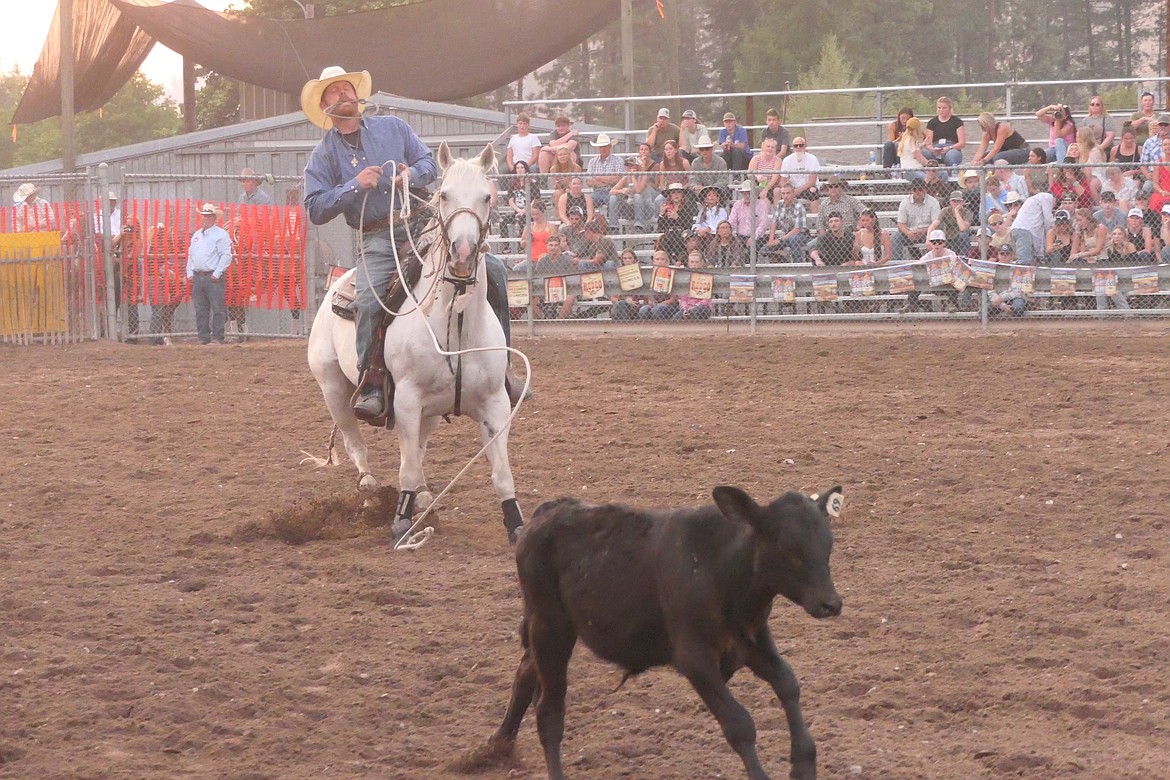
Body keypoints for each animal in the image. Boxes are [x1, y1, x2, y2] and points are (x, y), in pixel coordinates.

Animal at [306, 142, 521, 542]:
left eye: (486, 197)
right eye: (445, 194)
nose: (463, 252)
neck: (456, 326)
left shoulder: (496, 404)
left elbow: (501, 474)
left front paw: (515, 522)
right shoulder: (405, 399)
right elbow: (405, 466)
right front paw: (401, 520)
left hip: (431, 411)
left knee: (418, 448)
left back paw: (421, 495)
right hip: (333, 388)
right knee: (355, 441)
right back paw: (370, 489)